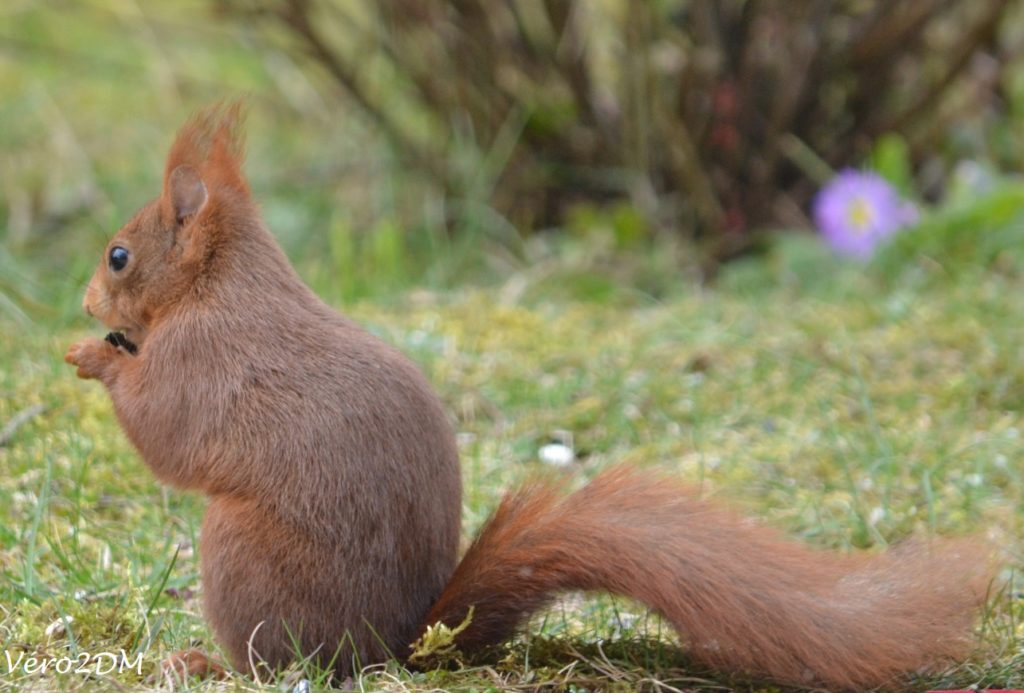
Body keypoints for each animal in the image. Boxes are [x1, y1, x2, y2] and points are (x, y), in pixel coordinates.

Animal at [64, 106, 991, 687]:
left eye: (118, 255)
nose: (82, 301)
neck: (218, 285)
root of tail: (393, 644)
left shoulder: (203, 360)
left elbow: (164, 430)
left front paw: (93, 359)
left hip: (240, 554)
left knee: (280, 664)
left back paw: (207, 662)